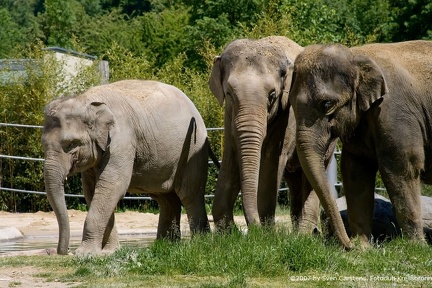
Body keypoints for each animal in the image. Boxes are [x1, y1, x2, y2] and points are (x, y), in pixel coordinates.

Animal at [41, 79, 213, 254]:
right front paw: (109, 252)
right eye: (43, 144)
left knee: (189, 194)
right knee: (166, 198)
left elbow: (112, 185)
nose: (63, 251)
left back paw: (200, 243)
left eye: (70, 144)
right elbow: (92, 190)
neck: (86, 99)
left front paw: (85, 253)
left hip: (193, 149)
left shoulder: (122, 141)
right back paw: (166, 245)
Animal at [208, 36, 324, 234]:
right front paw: (228, 233)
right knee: (294, 178)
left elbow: (271, 159)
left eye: (272, 95)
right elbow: (230, 156)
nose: (249, 229)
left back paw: (306, 233)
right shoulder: (229, 116)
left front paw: (266, 234)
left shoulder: (288, 113)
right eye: (229, 94)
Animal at [288, 40, 432, 250]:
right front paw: (362, 248)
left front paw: (416, 247)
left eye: (327, 104)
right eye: (290, 103)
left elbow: (402, 166)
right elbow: (355, 171)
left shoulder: (395, 113)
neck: (355, 56)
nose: (347, 245)